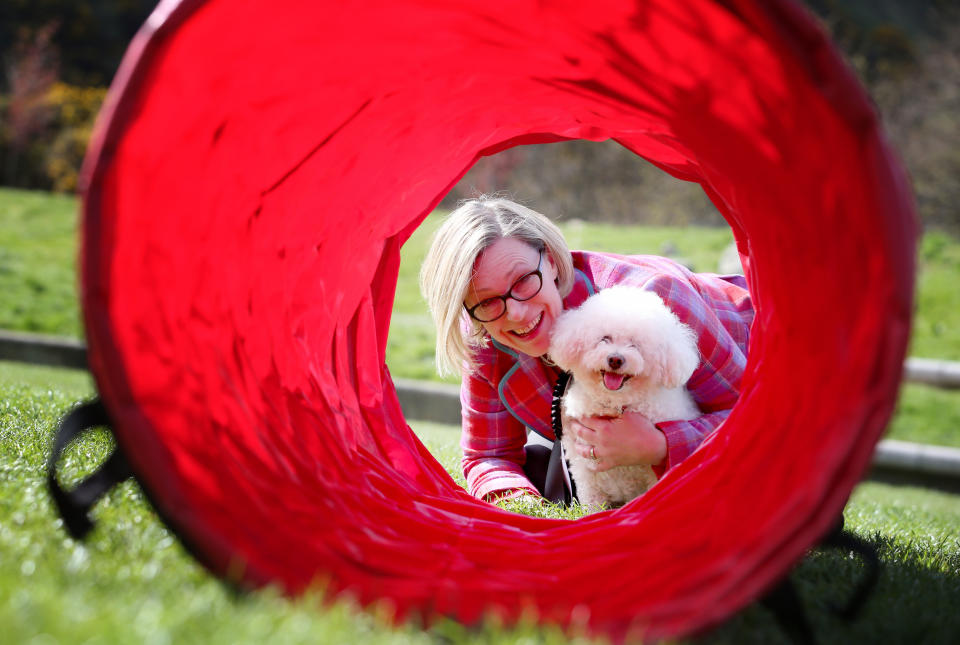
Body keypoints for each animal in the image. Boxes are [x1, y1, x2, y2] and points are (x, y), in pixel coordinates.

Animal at [552, 286, 700, 508]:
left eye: (635, 345)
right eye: (605, 338)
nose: (615, 359)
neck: (616, 404)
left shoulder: (651, 471)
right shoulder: (584, 469)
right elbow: (591, 502)